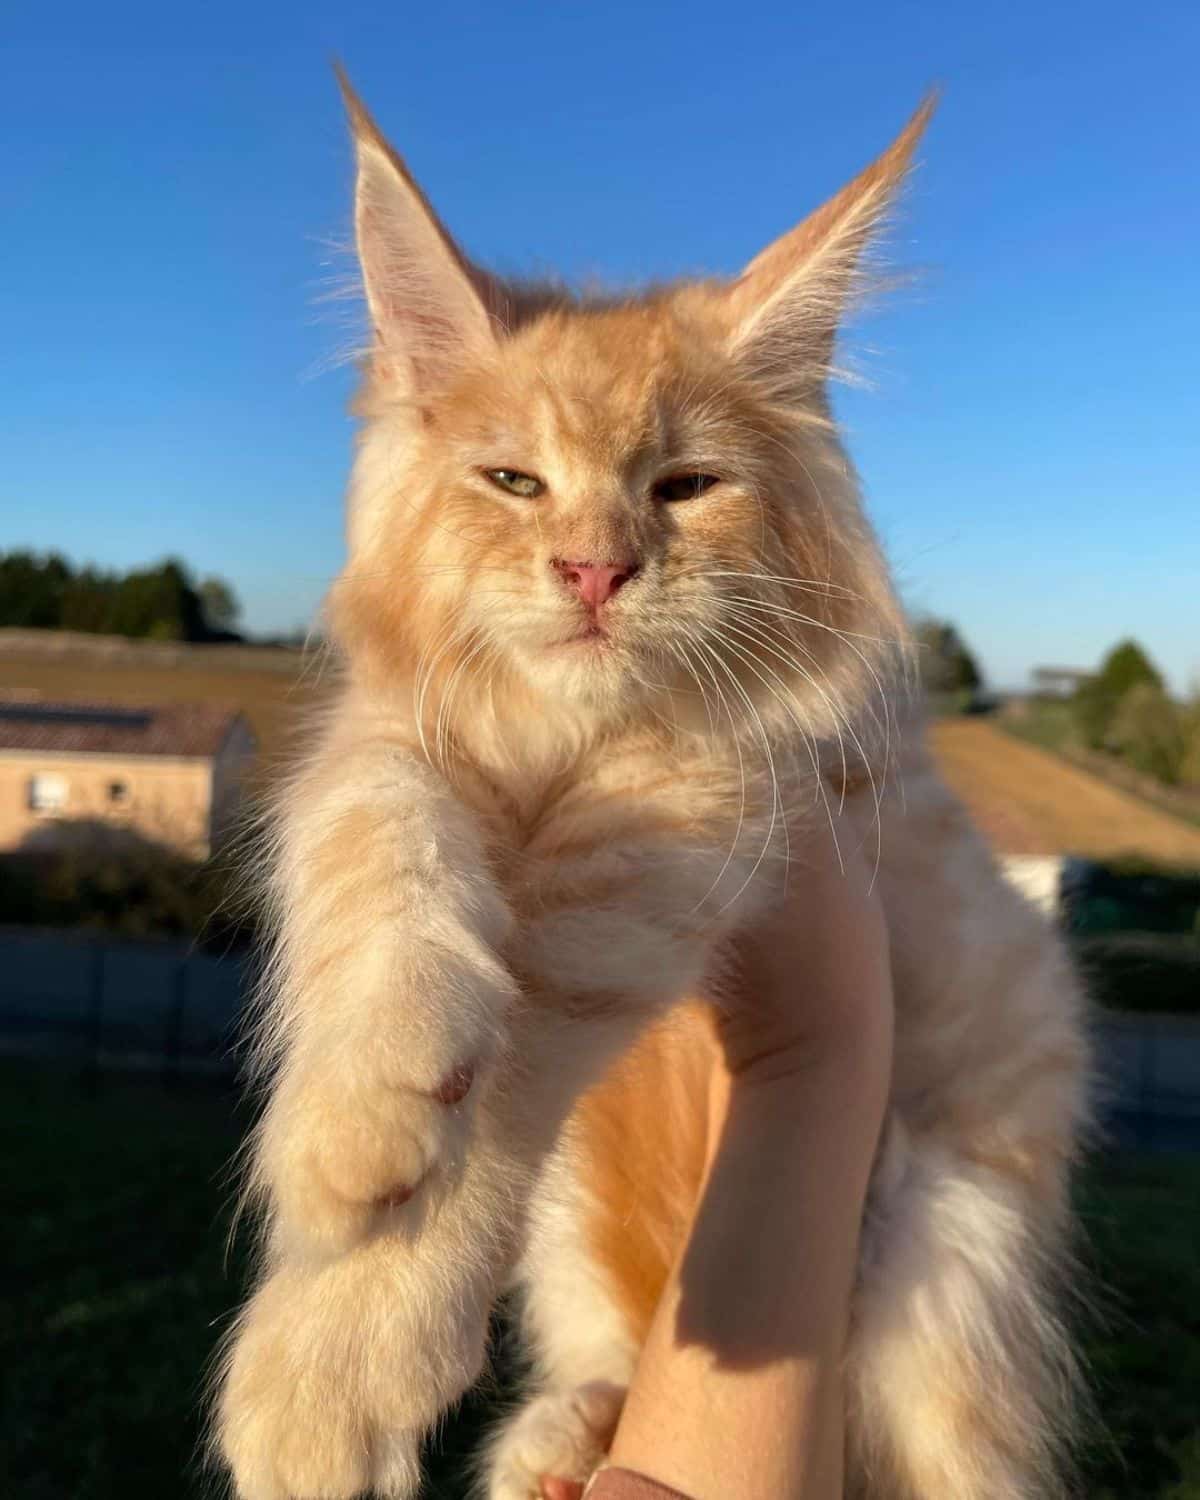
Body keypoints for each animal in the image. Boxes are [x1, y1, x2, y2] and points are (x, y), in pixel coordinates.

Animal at [211, 73, 1092, 1500]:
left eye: (686, 487)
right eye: (514, 481)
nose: (595, 569)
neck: (569, 744)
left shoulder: (716, 815)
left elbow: (517, 1063)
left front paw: (341, 1354)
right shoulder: (389, 736)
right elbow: (378, 844)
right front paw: (356, 1121)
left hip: (947, 1239)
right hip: (587, 1227)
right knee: (622, 1347)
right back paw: (563, 1444)